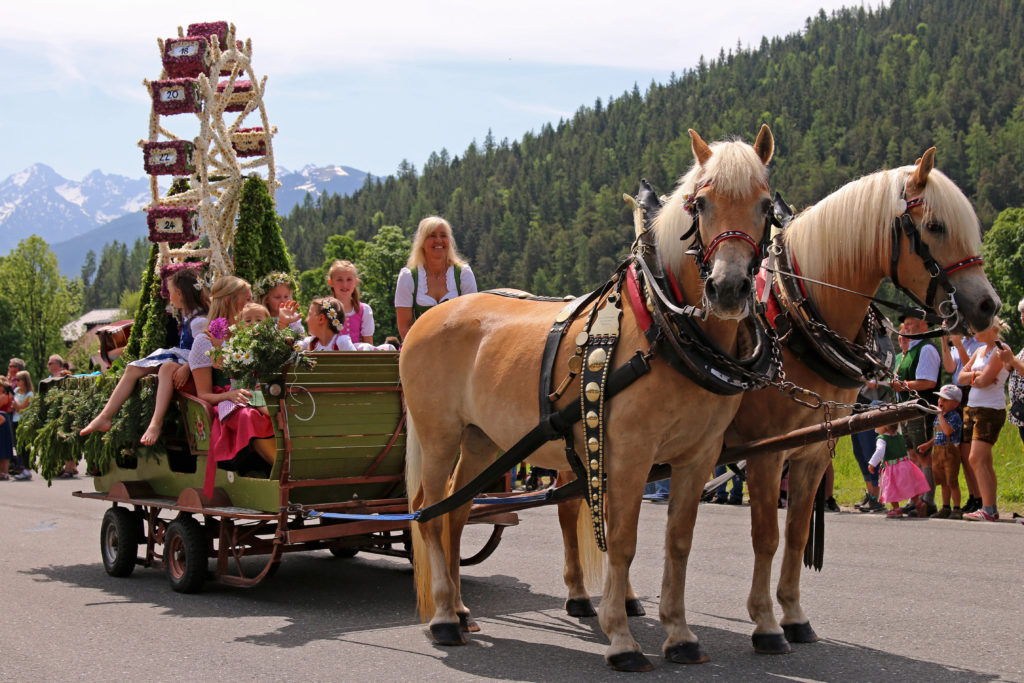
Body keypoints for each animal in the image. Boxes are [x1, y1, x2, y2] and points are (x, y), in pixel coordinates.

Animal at [403, 125, 770, 671]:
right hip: (438, 436)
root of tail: (430, 316)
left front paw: (679, 635)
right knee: (429, 512)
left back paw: (462, 611)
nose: (728, 289)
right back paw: (445, 618)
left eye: (765, 205)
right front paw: (620, 637)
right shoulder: (628, 454)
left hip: (484, 442)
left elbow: (678, 543)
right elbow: (620, 541)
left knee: (456, 511)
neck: (665, 330)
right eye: (700, 204)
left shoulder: (697, 457)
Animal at [544, 147, 999, 659]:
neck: (797, 318)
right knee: (571, 512)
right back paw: (581, 596)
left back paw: (623, 598)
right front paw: (765, 624)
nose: (988, 306)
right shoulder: (767, 450)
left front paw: (795, 616)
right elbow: (767, 536)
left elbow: (796, 536)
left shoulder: (814, 450)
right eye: (936, 226)